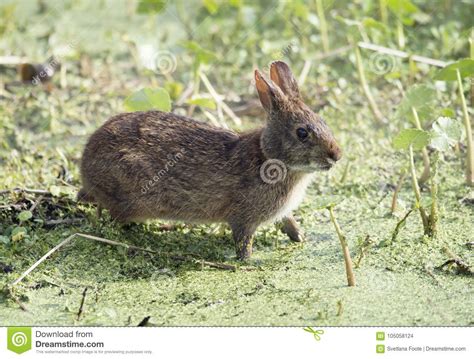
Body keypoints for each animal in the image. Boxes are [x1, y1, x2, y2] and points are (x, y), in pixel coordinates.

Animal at [79, 61, 342, 258]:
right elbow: (243, 242)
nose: (337, 155)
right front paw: (248, 261)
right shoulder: (244, 218)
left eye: (323, 121)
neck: (269, 156)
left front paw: (302, 238)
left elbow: (289, 223)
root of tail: (85, 165)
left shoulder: (282, 212)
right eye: (302, 133)